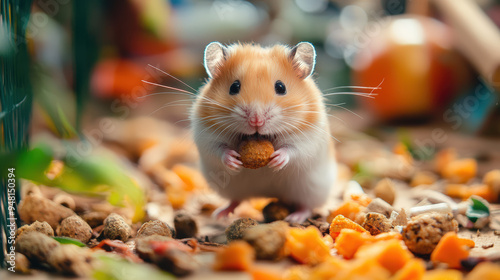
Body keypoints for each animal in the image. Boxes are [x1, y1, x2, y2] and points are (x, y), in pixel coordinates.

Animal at [190, 41, 336, 222]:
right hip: (232, 188)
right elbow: (218, 149)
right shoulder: (206, 134)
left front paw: (276, 160)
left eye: (281, 87)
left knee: (306, 206)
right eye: (234, 87)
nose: (256, 120)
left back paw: (294, 218)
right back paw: (220, 215)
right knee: (236, 201)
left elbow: (294, 149)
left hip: (311, 189)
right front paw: (233, 161)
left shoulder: (309, 138)